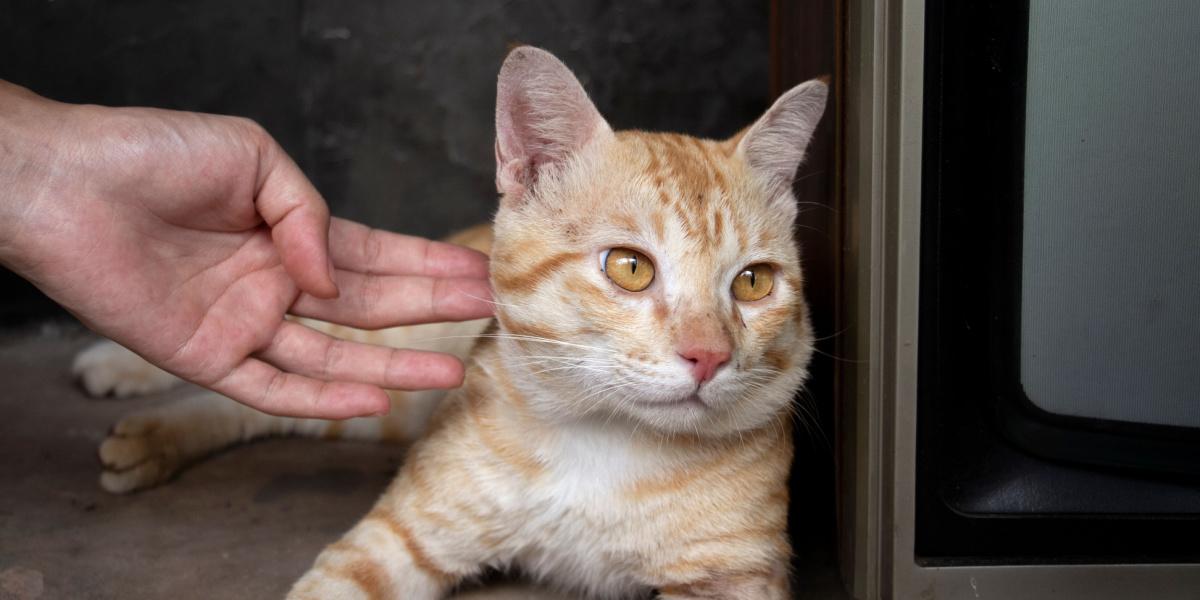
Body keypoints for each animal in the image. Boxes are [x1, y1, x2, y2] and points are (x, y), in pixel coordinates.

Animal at [72, 44, 825, 597]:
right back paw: (123, 375)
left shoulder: (733, 577)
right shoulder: (396, 538)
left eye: (753, 283)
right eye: (630, 268)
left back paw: (148, 436)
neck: (607, 443)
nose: (709, 357)